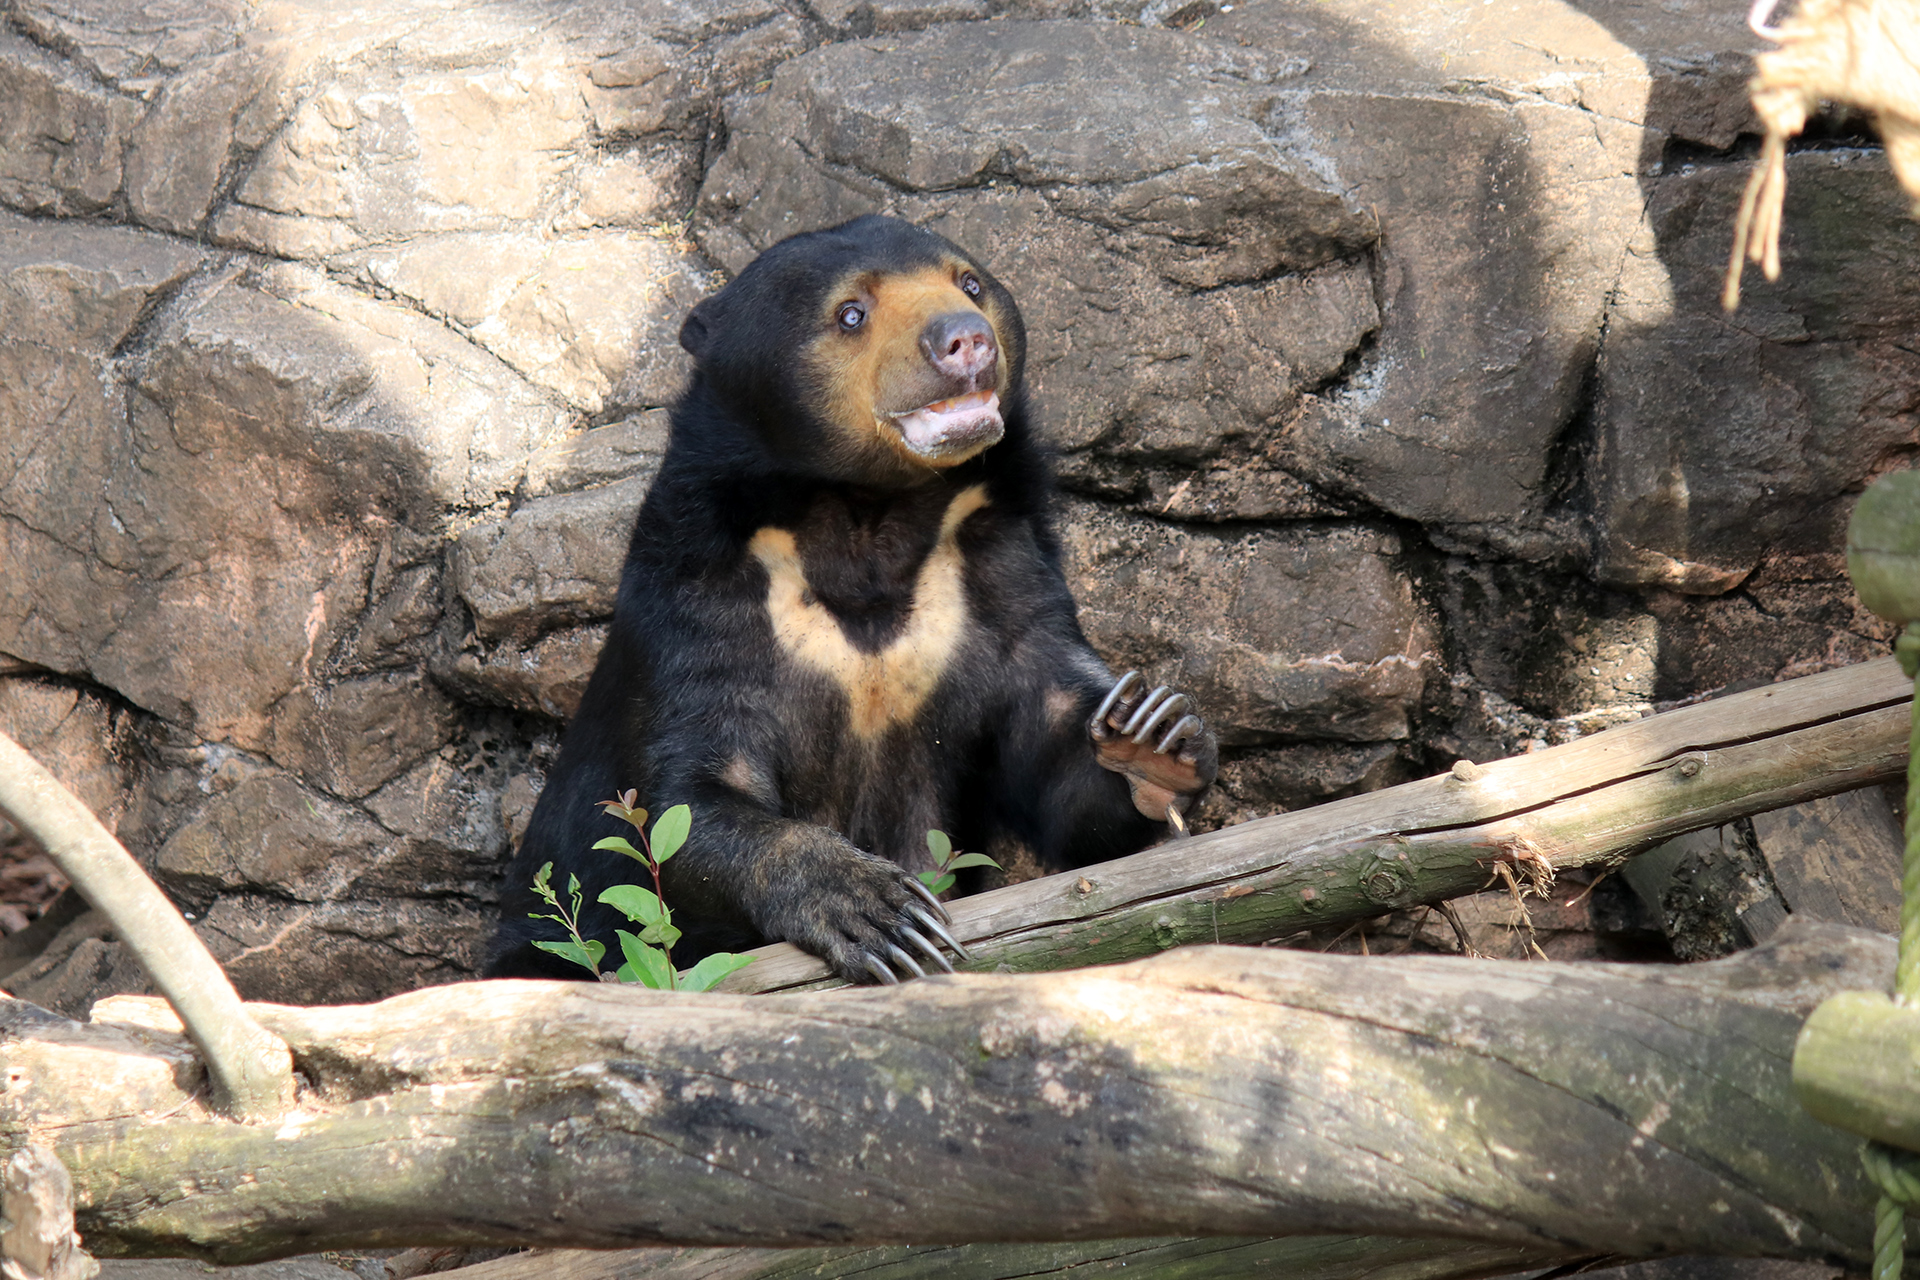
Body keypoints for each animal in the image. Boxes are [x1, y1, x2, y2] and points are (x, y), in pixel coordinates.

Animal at [483, 214, 1213, 990]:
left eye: (970, 283)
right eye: (851, 313)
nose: (966, 339)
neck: (869, 515)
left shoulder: (994, 557)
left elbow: (1050, 732)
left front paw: (1153, 739)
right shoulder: (704, 590)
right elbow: (678, 806)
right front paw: (876, 908)